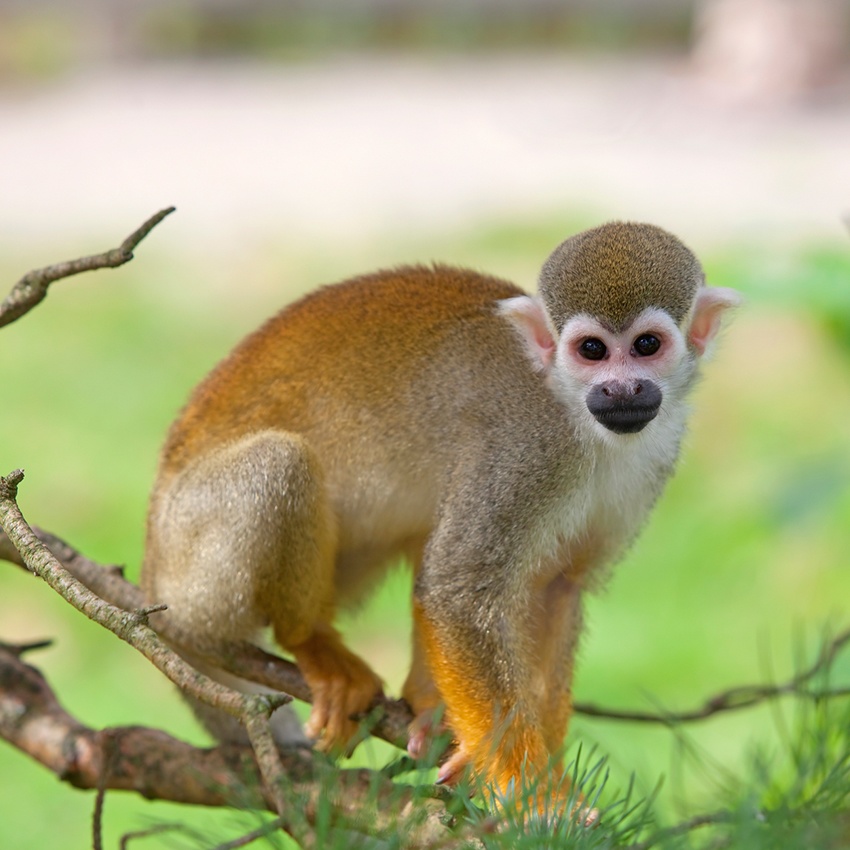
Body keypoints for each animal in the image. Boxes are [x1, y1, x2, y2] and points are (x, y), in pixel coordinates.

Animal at [141, 221, 739, 814]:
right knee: (282, 463)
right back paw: (311, 640)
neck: (577, 417)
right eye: (591, 350)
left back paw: (428, 706)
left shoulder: (653, 461)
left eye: (646, 346)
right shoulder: (523, 448)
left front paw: (543, 775)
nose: (621, 389)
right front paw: (537, 796)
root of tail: (150, 571)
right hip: (193, 567)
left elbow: (557, 587)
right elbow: (458, 591)